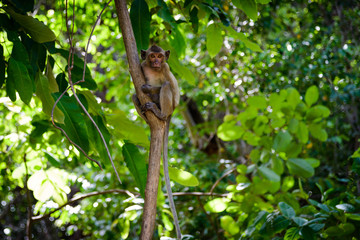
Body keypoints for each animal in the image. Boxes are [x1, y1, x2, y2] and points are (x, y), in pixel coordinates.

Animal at [132, 44, 181, 238]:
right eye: (152, 56)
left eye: (160, 56)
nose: (156, 62)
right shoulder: (141, 66)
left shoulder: (166, 68)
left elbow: (175, 91)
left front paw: (147, 89)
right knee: (134, 96)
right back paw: (147, 116)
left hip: (169, 107)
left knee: (167, 86)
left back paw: (160, 114)